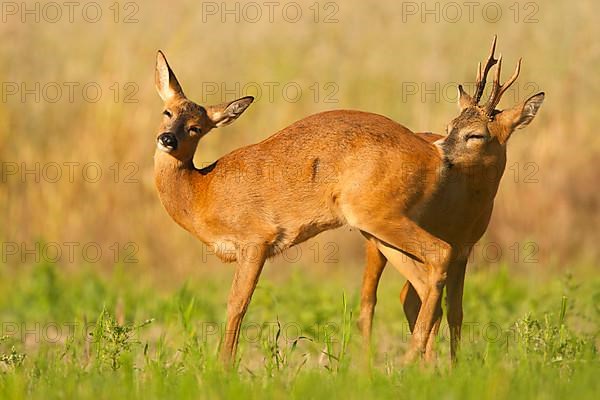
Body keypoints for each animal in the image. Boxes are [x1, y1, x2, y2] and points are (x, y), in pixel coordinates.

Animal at [154, 36, 544, 366]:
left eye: (197, 127)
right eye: (167, 113)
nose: (166, 139)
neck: (204, 190)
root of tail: (435, 154)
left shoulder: (255, 241)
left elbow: (237, 304)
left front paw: (224, 368)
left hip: (379, 219)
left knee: (433, 261)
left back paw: (405, 364)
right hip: (384, 232)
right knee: (423, 286)